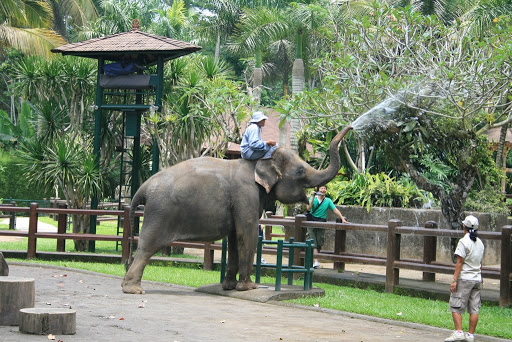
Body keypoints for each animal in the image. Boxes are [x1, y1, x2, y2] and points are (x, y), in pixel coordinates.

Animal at [121, 125, 352, 294]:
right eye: (301, 171)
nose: (350, 127)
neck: (259, 162)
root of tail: (144, 187)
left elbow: (234, 238)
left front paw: (229, 287)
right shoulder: (246, 195)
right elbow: (247, 233)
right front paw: (249, 287)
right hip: (160, 212)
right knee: (147, 246)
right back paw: (134, 290)